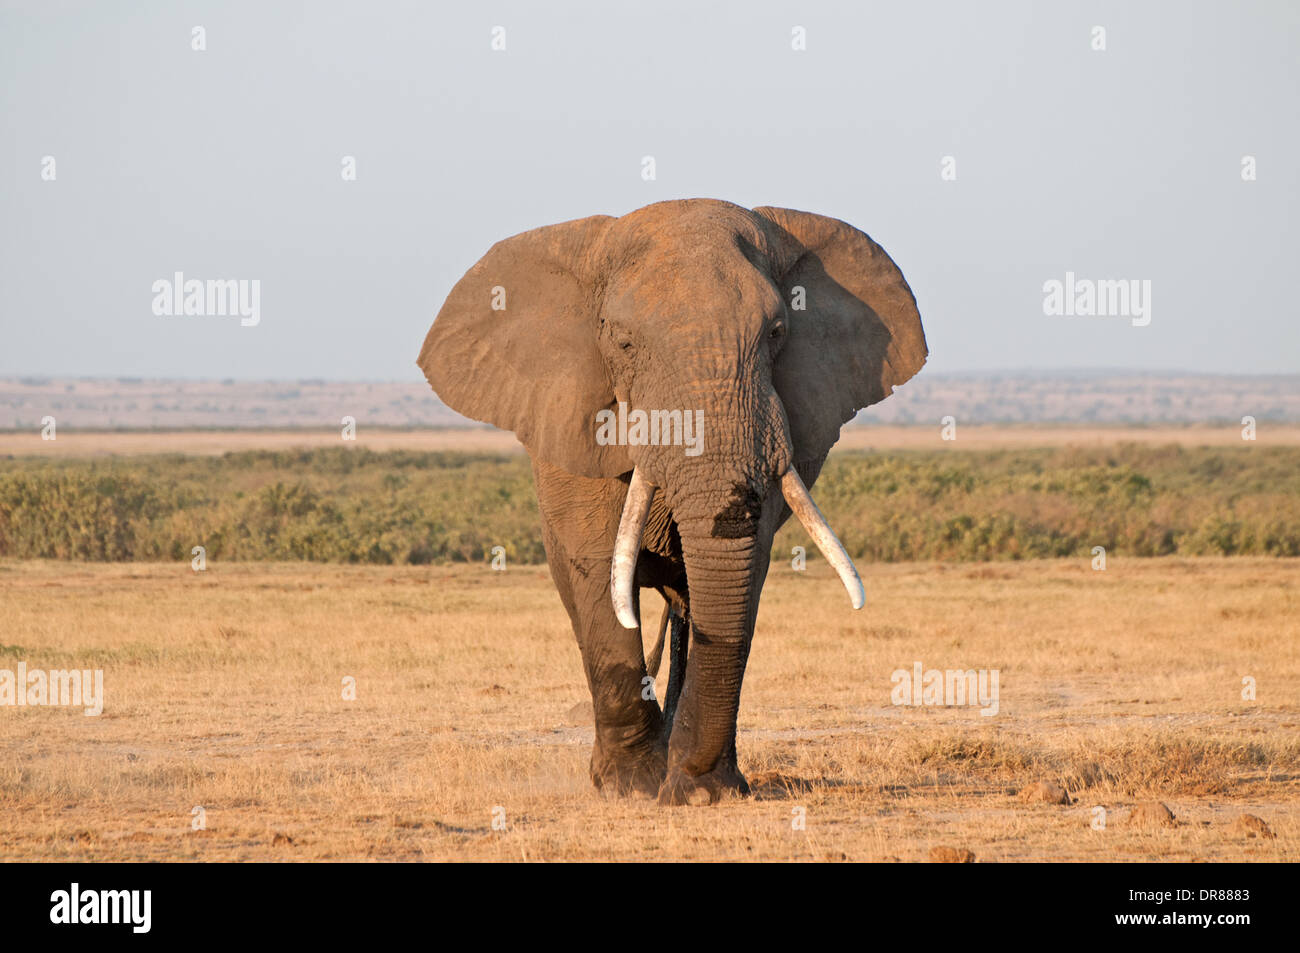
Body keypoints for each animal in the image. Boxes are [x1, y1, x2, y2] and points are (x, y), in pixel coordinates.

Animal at [418, 198, 925, 800]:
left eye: (777, 332)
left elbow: (739, 575)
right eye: (623, 342)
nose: (691, 782)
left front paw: (703, 791)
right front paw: (632, 787)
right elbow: (596, 572)